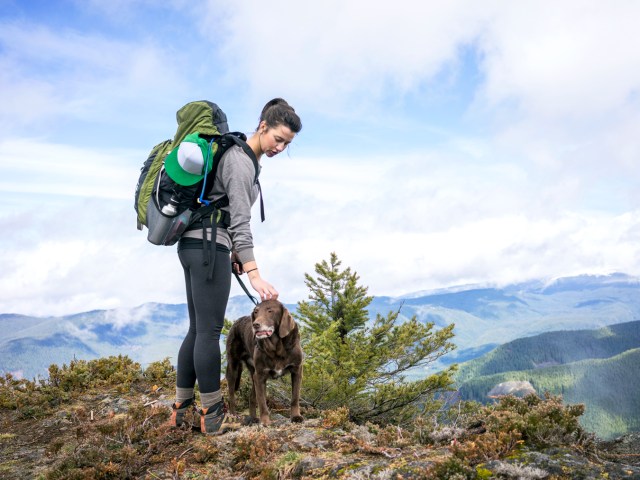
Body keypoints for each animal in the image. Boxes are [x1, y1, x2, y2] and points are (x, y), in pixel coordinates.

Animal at [225, 298, 304, 426]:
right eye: (256, 312)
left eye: (270, 311)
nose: (255, 325)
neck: (276, 347)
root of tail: (237, 321)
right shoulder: (260, 376)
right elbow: (262, 402)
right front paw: (265, 422)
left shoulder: (297, 371)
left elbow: (295, 398)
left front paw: (296, 416)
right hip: (234, 367)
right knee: (231, 395)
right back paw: (233, 415)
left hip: (253, 374)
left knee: (251, 397)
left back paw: (253, 418)